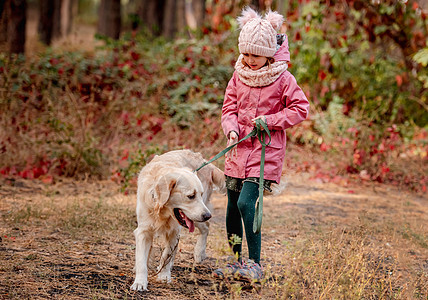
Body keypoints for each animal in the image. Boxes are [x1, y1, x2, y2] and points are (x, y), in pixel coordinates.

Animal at [130, 150, 224, 290]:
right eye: (191, 196)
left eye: (200, 194)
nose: (208, 215)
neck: (162, 211)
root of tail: (205, 161)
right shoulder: (143, 230)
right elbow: (142, 259)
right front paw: (140, 282)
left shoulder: (174, 232)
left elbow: (167, 256)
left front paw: (164, 276)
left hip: (197, 218)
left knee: (206, 227)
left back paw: (199, 253)